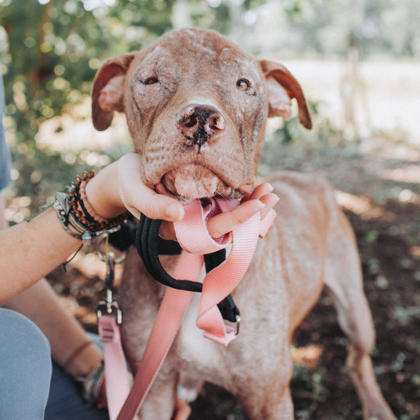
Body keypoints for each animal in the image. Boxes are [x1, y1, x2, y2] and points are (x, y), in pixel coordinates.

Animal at [92, 27, 398, 418]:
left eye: (243, 84)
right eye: (150, 80)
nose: (201, 118)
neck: (197, 246)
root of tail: (310, 178)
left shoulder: (270, 400)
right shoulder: (152, 390)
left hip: (356, 310)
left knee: (358, 361)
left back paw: (376, 406)